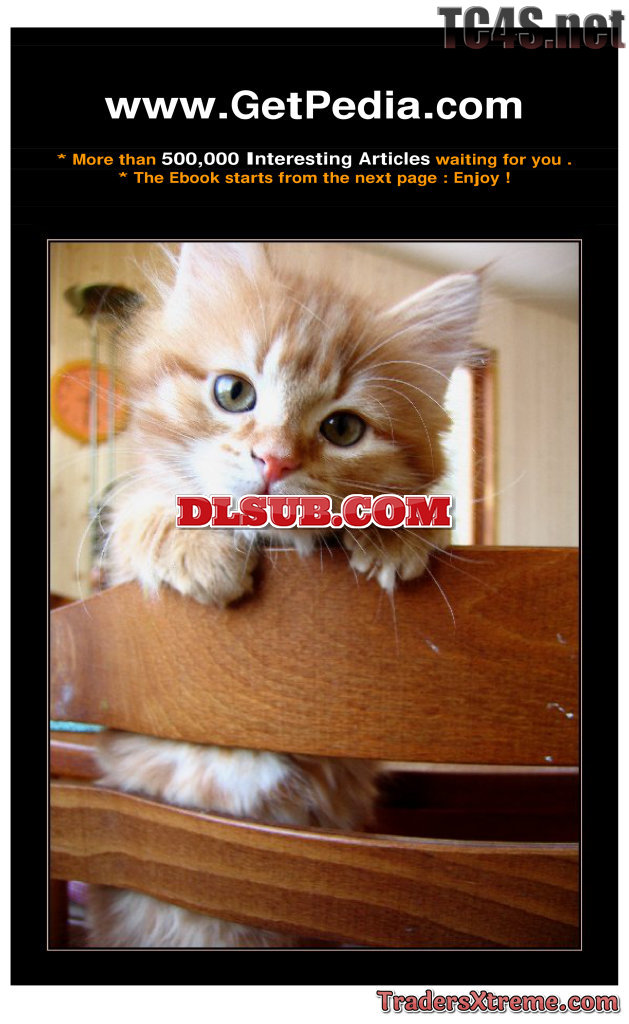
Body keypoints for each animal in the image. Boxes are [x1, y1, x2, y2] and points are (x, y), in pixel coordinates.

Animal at [88, 242, 481, 947]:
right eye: (233, 392)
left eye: (344, 429)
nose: (273, 460)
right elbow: (144, 510)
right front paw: (199, 549)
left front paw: (394, 529)